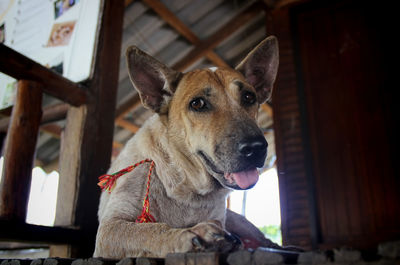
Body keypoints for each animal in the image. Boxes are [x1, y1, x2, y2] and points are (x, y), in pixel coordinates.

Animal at [94, 36, 280, 256]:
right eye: (197, 104)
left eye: (249, 97)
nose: (256, 148)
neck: (190, 190)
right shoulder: (109, 230)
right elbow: (150, 230)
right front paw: (188, 233)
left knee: (266, 241)